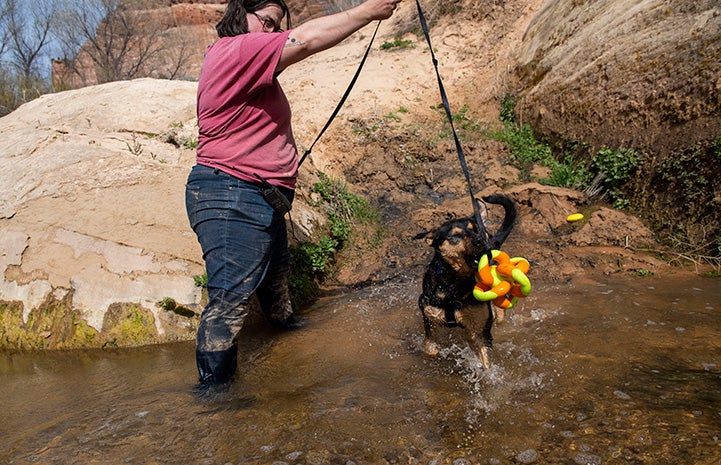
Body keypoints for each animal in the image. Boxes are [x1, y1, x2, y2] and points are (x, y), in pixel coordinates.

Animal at [416, 192, 516, 366]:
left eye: (476, 230)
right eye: (455, 236)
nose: (480, 240)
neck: (456, 283)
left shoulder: (482, 328)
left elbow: (485, 360)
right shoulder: (427, 311)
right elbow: (429, 346)